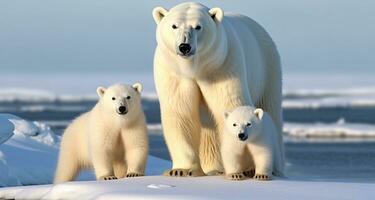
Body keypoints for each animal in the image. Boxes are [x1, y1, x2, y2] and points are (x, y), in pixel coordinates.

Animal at [152, 1, 282, 177]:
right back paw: (214, 168)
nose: (184, 46)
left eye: (198, 26)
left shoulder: (223, 66)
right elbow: (181, 114)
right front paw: (181, 170)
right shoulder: (174, 74)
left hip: (268, 69)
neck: (196, 69)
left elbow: (230, 105)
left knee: (270, 110)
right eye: (174, 26)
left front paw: (246, 167)